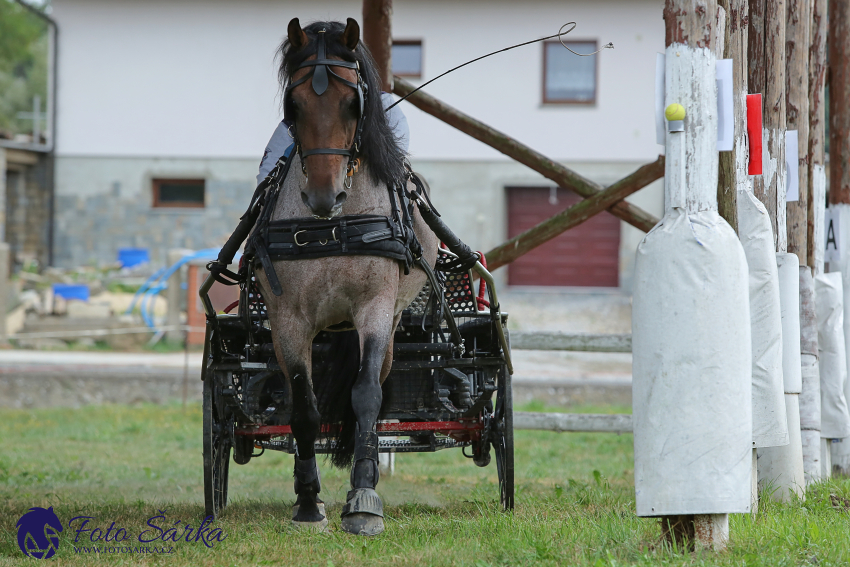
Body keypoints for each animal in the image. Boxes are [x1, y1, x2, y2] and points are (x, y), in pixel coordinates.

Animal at [252, 17, 438, 536]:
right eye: (293, 106)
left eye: (353, 104)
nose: (323, 195)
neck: (331, 228)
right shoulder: (288, 321)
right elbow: (304, 408)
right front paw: (308, 503)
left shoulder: (374, 309)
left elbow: (366, 395)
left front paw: (363, 498)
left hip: (389, 323)